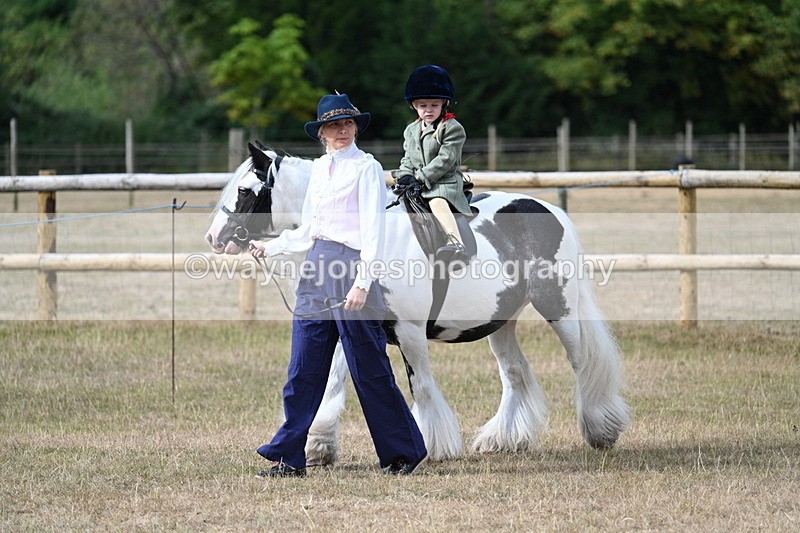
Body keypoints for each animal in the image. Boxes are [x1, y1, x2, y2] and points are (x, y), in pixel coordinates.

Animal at [205, 142, 630, 464]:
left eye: (244, 191)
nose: (214, 237)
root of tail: (551, 210)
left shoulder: (409, 331)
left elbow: (420, 385)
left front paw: (432, 446)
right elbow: (333, 383)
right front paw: (318, 446)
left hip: (559, 309)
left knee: (582, 363)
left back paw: (600, 429)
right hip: (500, 322)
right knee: (515, 373)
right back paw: (502, 439)